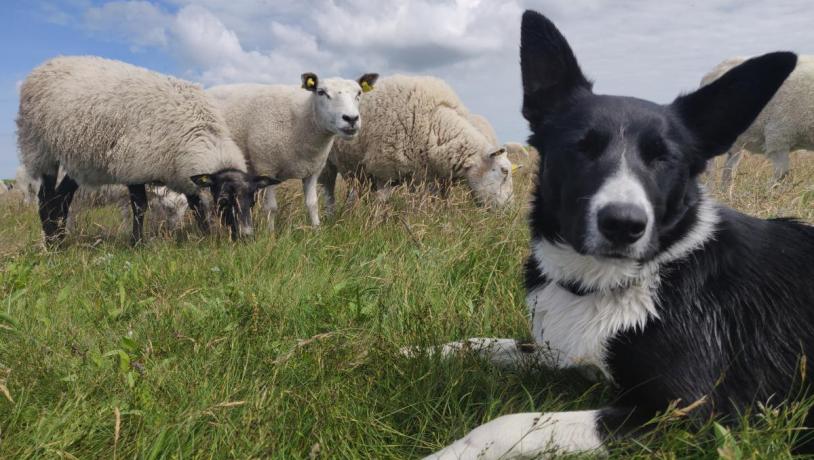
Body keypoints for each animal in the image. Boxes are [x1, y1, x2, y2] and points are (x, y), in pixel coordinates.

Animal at [15, 56, 278, 244]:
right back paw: (51, 243)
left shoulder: (182, 172)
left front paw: (206, 235)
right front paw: (137, 243)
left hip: (80, 162)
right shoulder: (135, 165)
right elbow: (140, 207)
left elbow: (196, 205)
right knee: (45, 199)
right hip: (40, 148)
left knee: (62, 198)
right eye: (223, 201)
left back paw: (60, 241)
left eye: (252, 201)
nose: (246, 237)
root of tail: (44, 66)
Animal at [207, 72, 380, 230]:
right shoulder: (267, 167)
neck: (301, 120)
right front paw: (270, 234)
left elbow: (312, 204)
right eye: (321, 92)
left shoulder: (312, 170)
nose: (351, 119)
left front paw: (317, 230)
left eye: (359, 93)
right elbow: (271, 208)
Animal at [322, 76, 512, 210]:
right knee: (328, 192)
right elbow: (383, 202)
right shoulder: (383, 168)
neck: (435, 128)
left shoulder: (429, 178)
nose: (509, 209)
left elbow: (433, 203)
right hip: (327, 163)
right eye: (504, 171)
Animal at [700, 56, 814, 187]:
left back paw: (725, 189)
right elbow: (781, 173)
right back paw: (710, 188)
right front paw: (769, 190)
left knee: (729, 168)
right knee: (710, 168)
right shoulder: (778, 137)